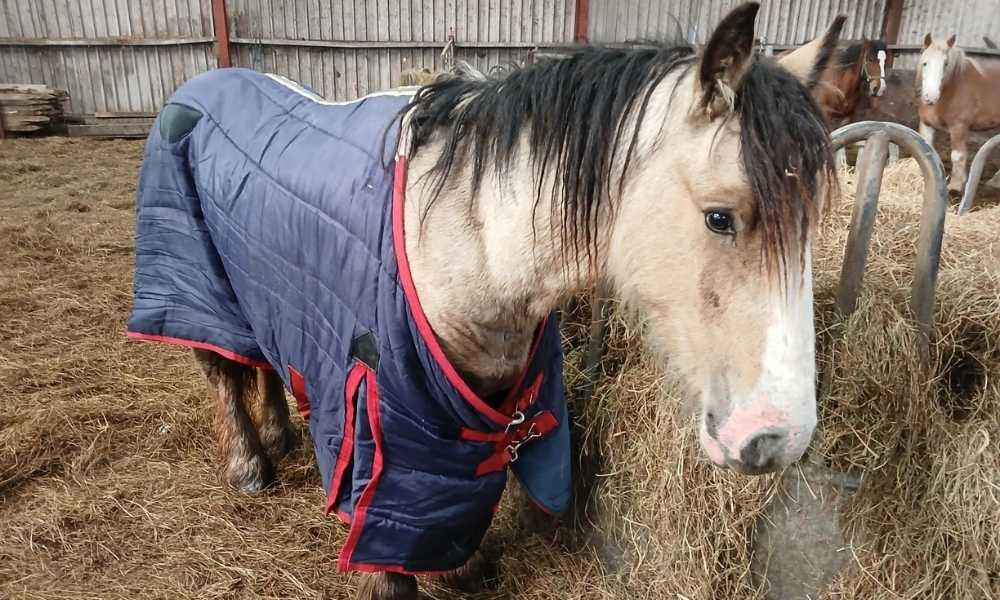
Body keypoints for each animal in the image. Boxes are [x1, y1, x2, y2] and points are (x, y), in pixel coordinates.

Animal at [125, 2, 844, 596]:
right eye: (721, 217)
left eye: (812, 222)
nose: (780, 438)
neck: (462, 241)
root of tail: (199, 86)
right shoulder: (384, 422)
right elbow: (392, 536)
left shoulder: (478, 404)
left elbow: (461, 496)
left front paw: (461, 567)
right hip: (197, 283)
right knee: (222, 370)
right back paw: (250, 464)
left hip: (261, 292)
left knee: (264, 359)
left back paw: (278, 432)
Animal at [916, 33, 1000, 192]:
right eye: (924, 63)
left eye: (946, 64)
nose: (930, 97)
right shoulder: (927, 124)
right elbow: (925, 149)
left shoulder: (958, 127)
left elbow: (957, 156)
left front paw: (955, 185)